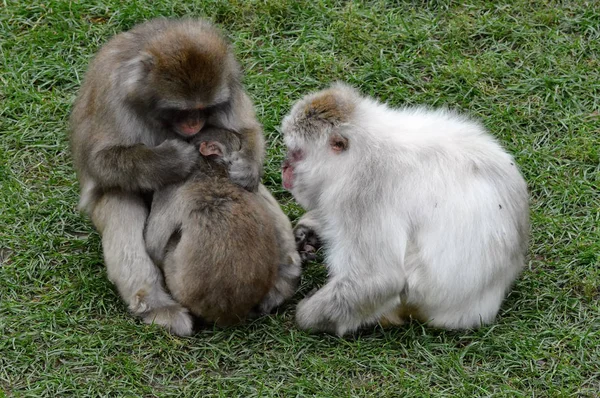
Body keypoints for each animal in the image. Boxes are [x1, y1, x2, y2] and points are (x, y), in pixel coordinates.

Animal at [282, 83, 528, 336]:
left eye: (297, 153)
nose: (285, 167)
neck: (363, 150)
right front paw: (311, 229)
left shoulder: (361, 194)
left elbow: (378, 278)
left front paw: (305, 316)